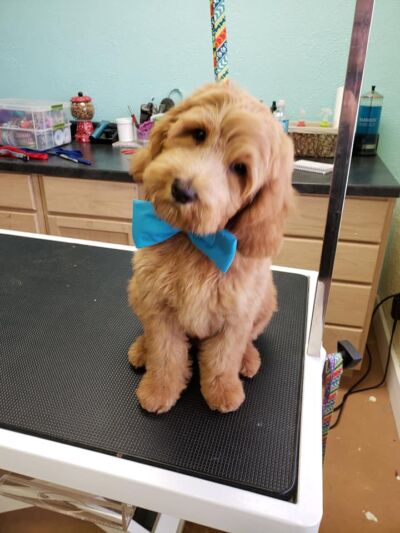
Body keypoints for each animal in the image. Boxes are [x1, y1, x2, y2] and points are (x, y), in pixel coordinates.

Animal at [128, 81, 294, 414]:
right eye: (198, 133)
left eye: (240, 168)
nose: (182, 189)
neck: (196, 241)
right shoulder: (158, 307)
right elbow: (165, 353)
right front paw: (159, 389)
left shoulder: (236, 315)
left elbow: (223, 357)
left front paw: (223, 390)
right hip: (136, 290)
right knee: (149, 336)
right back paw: (142, 349)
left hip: (265, 302)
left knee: (248, 340)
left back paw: (248, 358)